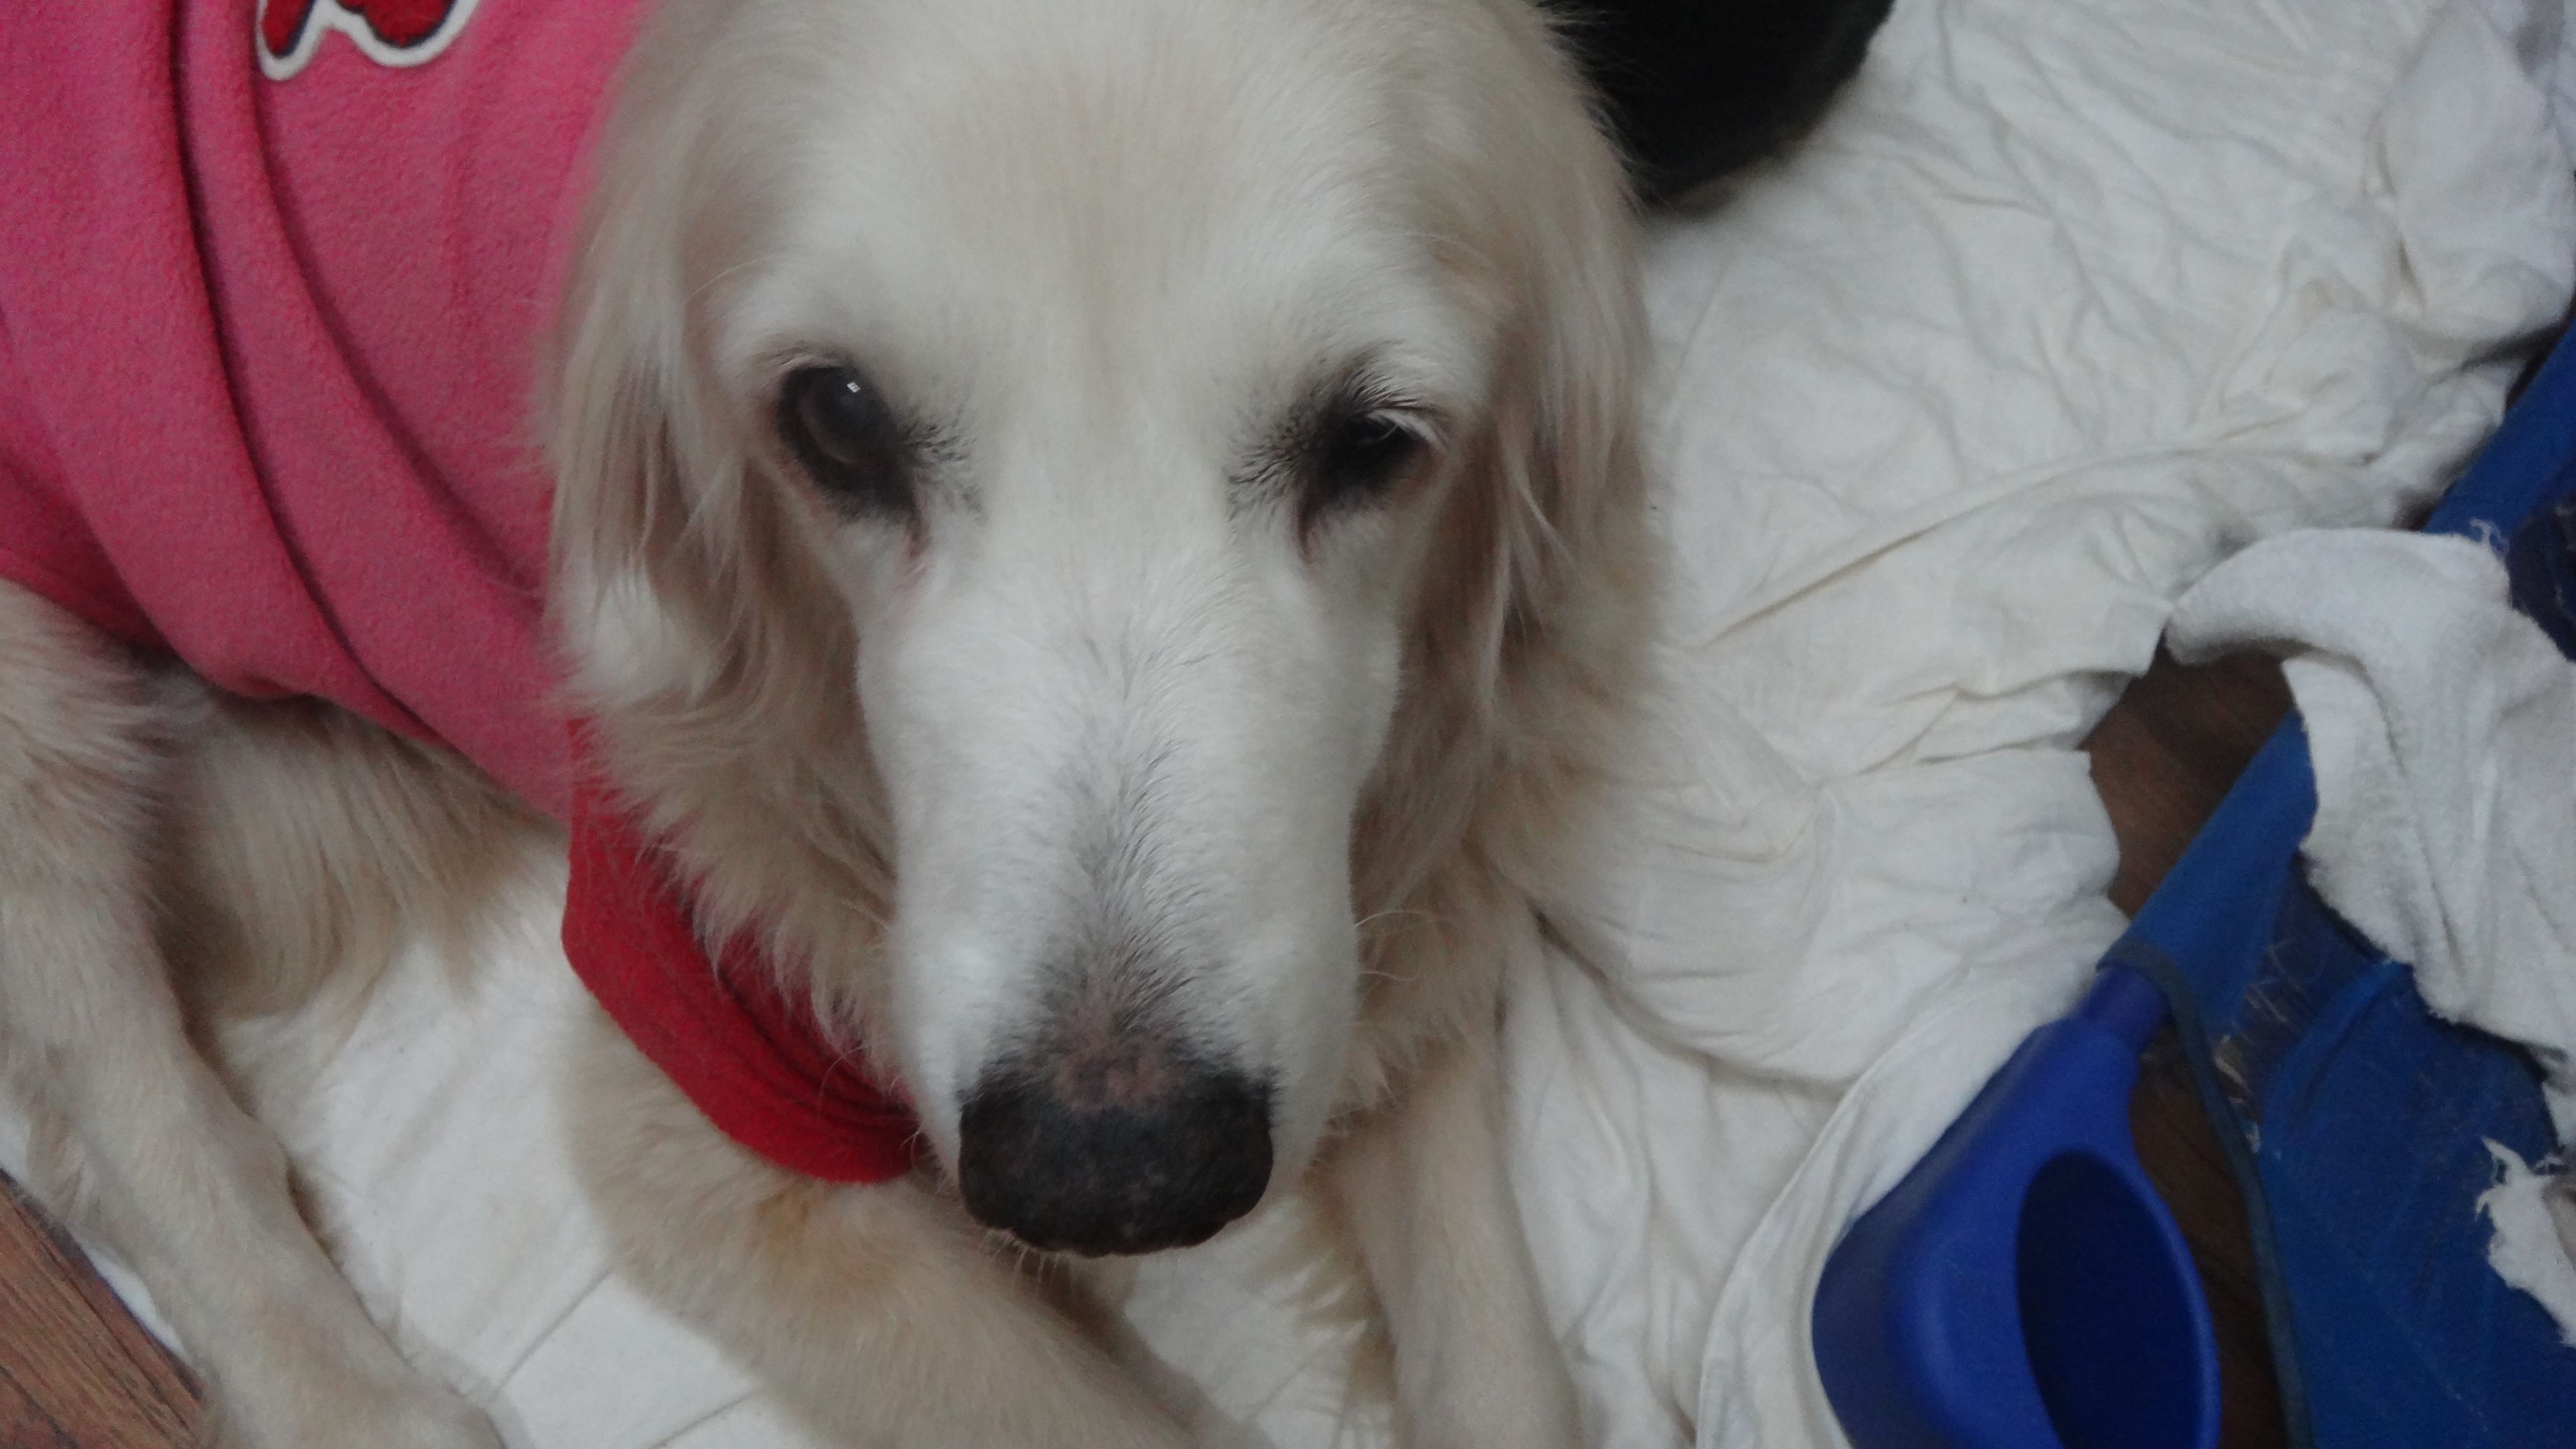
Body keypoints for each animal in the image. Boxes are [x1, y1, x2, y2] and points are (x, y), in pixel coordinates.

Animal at [0, 0, 1651, 1443]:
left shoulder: (1389, 912)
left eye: (1372, 441)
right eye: (838, 420)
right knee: (132, 1109)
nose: (1110, 1169)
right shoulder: (704, 1092)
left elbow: (1502, 1357)